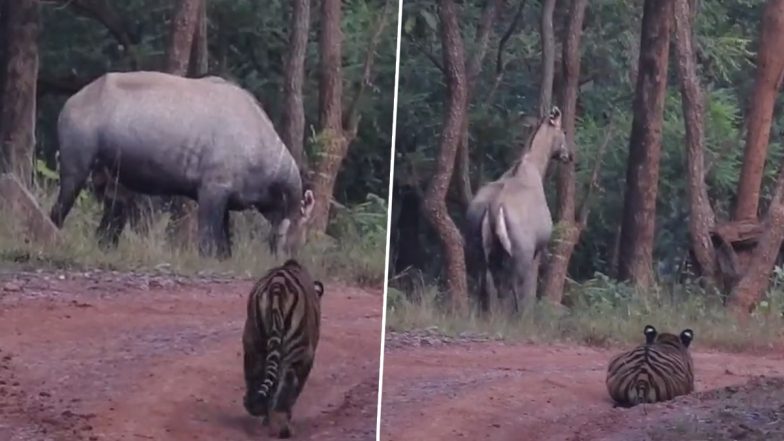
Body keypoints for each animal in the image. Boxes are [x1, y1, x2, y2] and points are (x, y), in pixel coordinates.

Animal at [240, 258, 324, 436]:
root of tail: (277, 284)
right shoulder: (306, 357)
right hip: (298, 351)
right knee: (288, 385)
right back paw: (283, 429)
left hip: (253, 341)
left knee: (255, 375)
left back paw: (255, 408)